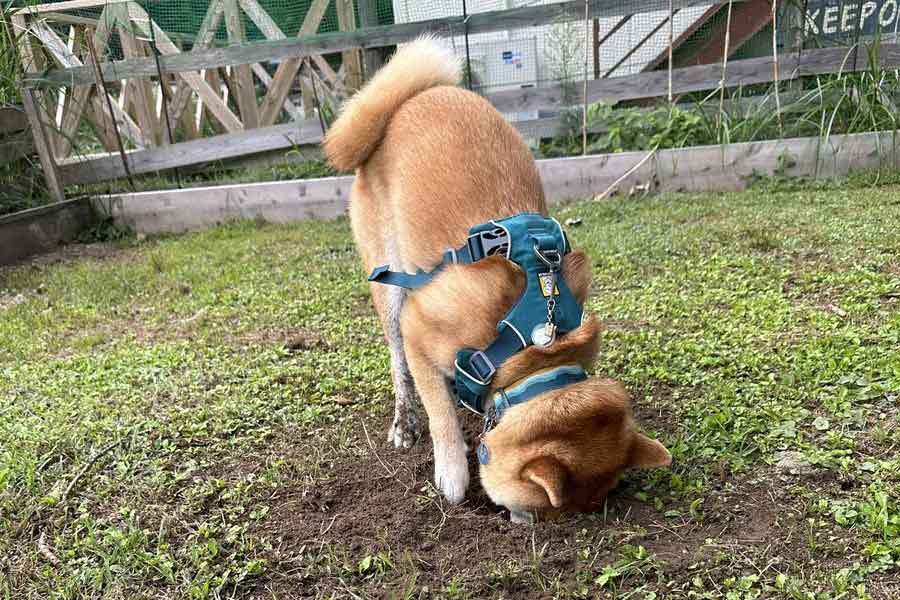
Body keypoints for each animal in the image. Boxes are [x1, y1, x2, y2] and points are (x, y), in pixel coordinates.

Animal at [324, 37, 668, 524]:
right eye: (534, 510)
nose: (520, 525)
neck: (532, 346)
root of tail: (414, 96)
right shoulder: (419, 328)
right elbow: (440, 414)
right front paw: (451, 472)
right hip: (388, 289)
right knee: (398, 365)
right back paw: (405, 422)